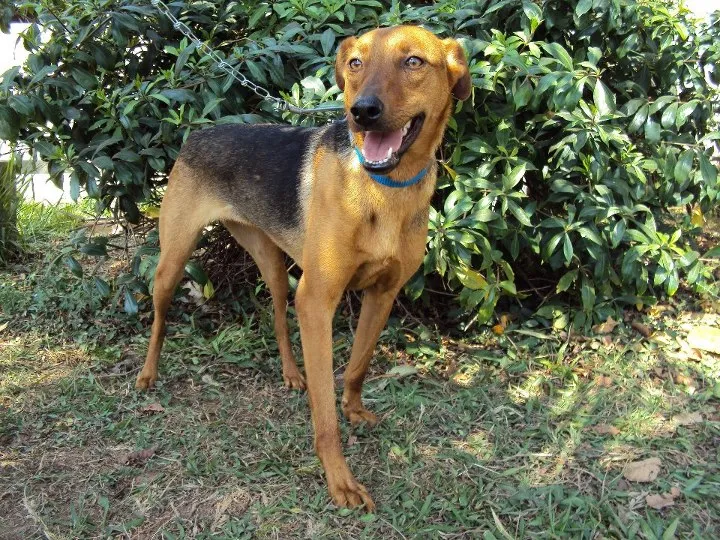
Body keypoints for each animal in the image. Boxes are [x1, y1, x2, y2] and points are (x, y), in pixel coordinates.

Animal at [136, 25, 470, 510]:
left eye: (413, 62)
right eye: (355, 63)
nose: (361, 112)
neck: (384, 187)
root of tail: (198, 134)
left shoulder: (382, 294)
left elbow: (358, 365)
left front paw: (354, 409)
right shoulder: (317, 300)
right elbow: (325, 414)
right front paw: (340, 480)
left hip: (274, 264)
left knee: (277, 314)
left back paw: (293, 375)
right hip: (173, 261)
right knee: (160, 317)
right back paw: (148, 374)